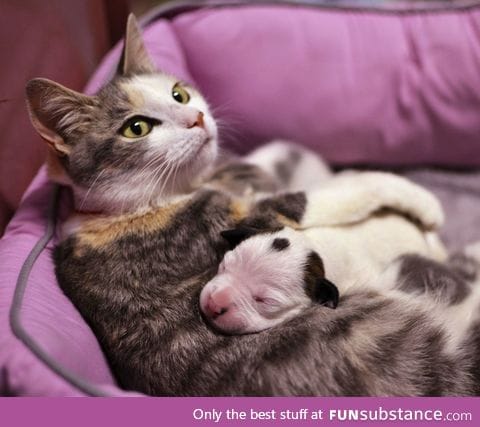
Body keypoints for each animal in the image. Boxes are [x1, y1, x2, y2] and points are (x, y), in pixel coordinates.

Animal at [23, 16, 476, 398]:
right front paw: (426, 206)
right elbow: (340, 190)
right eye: (136, 128)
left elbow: (269, 159)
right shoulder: (237, 217)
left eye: (179, 93)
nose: (196, 118)